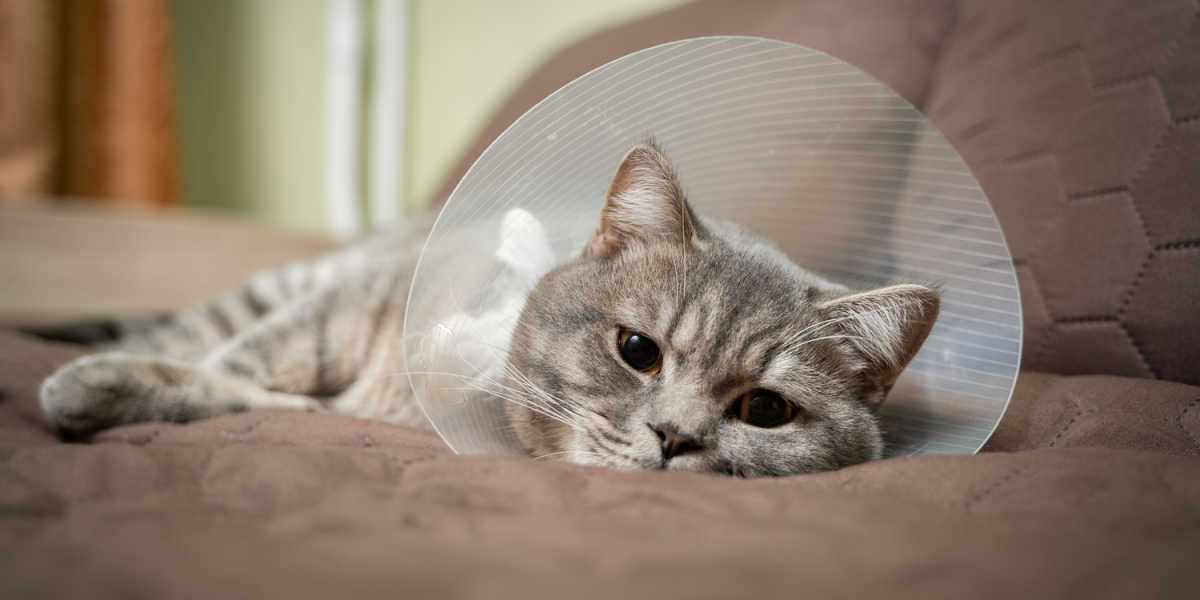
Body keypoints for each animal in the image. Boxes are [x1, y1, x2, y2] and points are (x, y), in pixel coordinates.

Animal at [35, 142, 936, 475]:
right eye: (637, 351)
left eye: (765, 411)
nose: (676, 438)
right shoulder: (331, 316)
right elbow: (231, 365)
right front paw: (104, 383)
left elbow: (247, 395)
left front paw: (108, 390)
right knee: (193, 329)